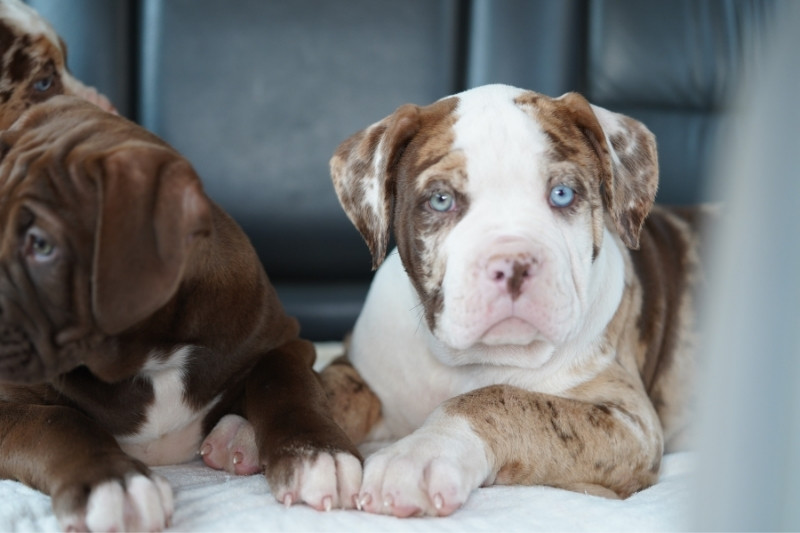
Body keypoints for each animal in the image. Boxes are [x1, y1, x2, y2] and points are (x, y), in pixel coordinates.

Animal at [0, 96, 360, 532]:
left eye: (41, 245)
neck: (150, 353)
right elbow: (53, 421)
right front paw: (111, 481)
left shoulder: (284, 339)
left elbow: (284, 378)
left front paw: (315, 452)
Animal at [322, 84, 704, 516]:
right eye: (440, 200)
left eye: (562, 194)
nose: (514, 265)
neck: (469, 361)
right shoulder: (358, 369)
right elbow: (328, 387)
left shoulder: (630, 423)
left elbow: (503, 399)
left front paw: (420, 453)